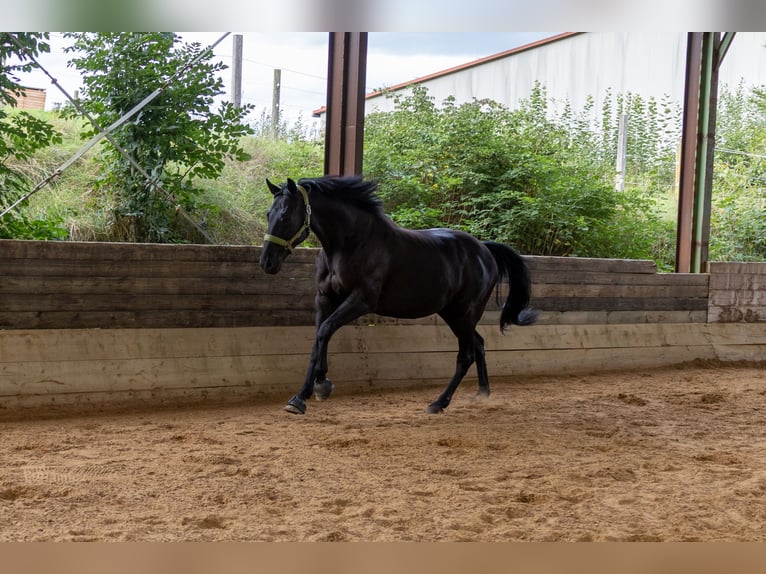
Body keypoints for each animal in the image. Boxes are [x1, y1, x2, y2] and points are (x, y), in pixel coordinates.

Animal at [259, 175, 538, 415]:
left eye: (285, 215)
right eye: (268, 214)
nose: (267, 263)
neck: (351, 243)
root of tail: (484, 250)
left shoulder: (361, 301)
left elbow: (325, 330)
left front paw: (310, 392)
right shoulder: (325, 298)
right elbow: (318, 338)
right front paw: (312, 390)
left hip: (463, 314)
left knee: (467, 354)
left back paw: (439, 403)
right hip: (454, 314)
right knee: (478, 344)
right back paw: (481, 394)